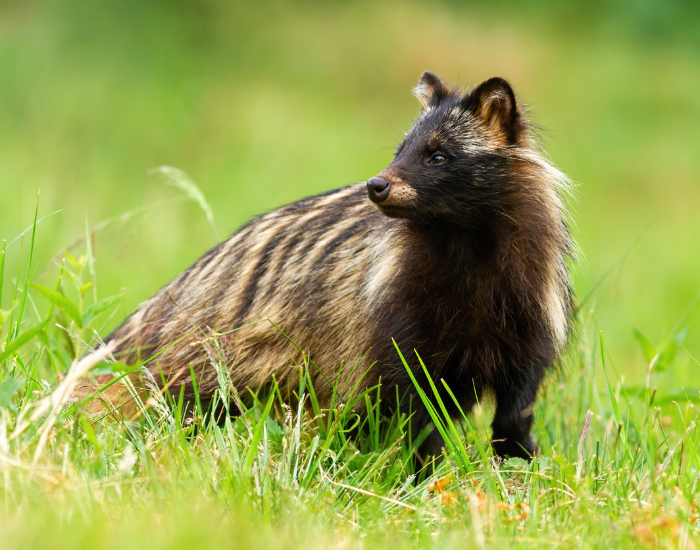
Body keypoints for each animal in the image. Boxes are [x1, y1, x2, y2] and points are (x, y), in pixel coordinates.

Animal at [91, 72, 574, 459]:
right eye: (401, 149)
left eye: (439, 155)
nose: (376, 185)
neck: (464, 245)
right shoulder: (396, 308)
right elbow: (413, 400)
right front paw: (427, 470)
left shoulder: (527, 303)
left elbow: (520, 395)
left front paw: (517, 454)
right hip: (220, 347)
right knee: (189, 403)